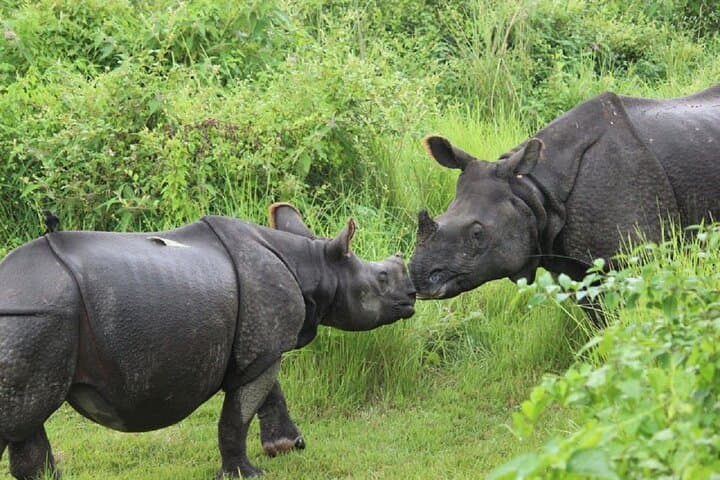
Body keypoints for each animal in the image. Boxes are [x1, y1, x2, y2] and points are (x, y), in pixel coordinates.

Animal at [0, 204, 416, 479]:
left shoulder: (261, 347)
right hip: (34, 315)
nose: (412, 296)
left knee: (28, 419)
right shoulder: (263, 347)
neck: (314, 265)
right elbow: (238, 414)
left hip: (39, 317)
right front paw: (247, 474)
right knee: (20, 417)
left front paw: (287, 447)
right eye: (381, 279)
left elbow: (269, 393)